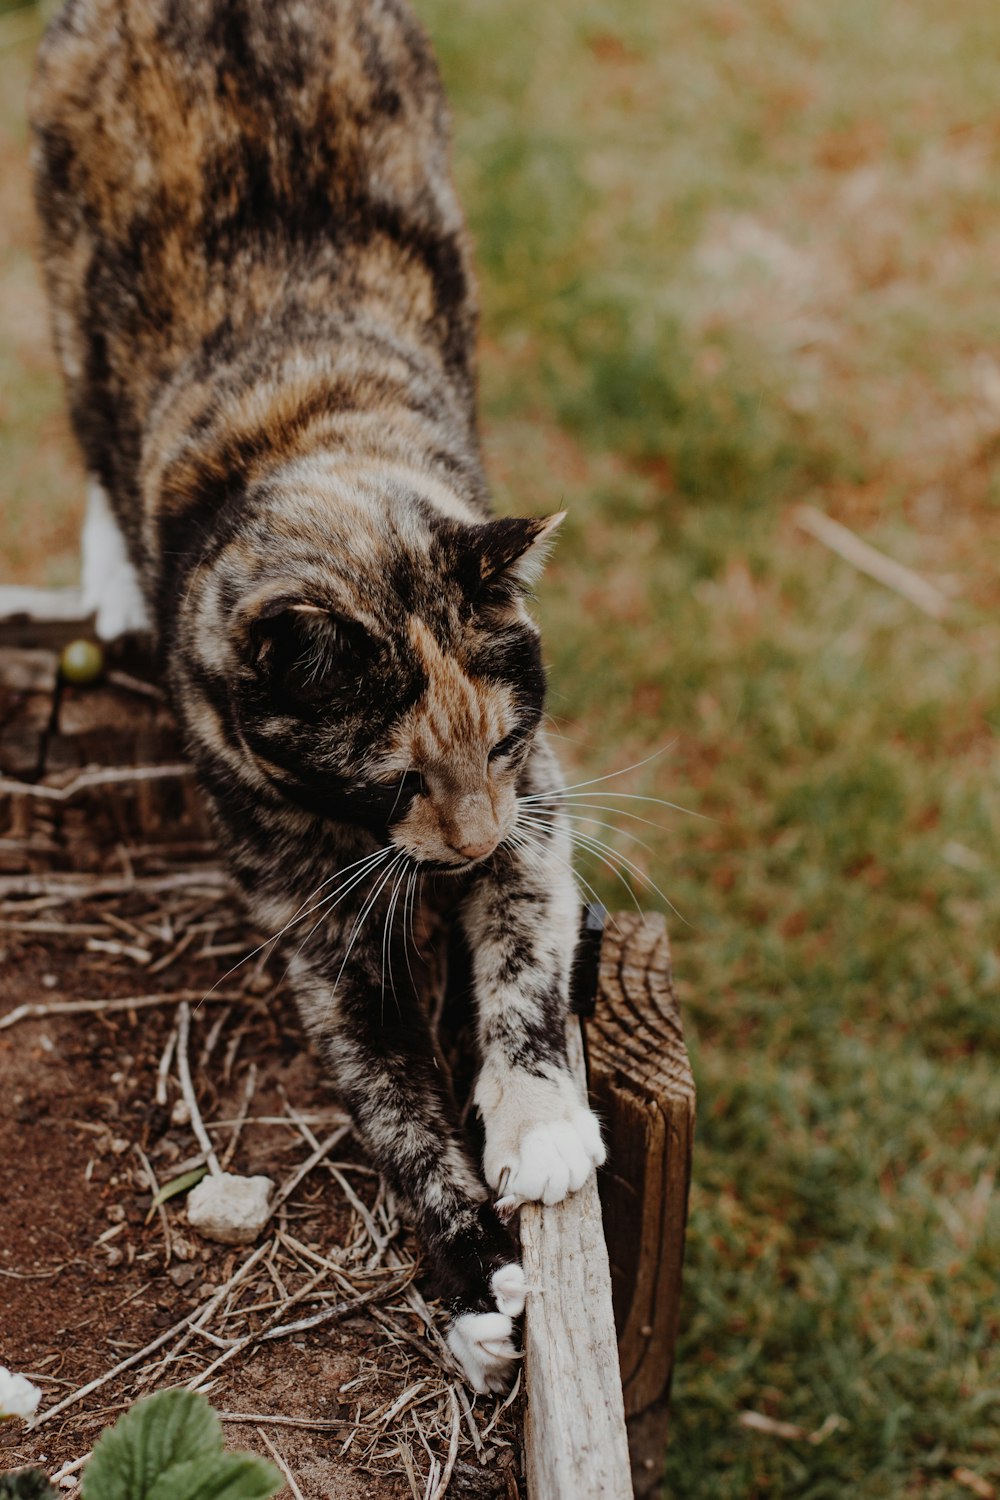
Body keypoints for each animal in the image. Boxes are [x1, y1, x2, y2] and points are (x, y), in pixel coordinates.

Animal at [31, 0, 605, 1392]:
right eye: (390, 776)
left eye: (498, 747)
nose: (464, 845)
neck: (307, 438)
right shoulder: (311, 914)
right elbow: (393, 1107)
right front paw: (472, 1277)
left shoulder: (538, 806)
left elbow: (523, 966)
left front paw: (542, 1128)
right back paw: (110, 582)